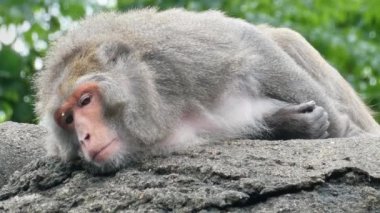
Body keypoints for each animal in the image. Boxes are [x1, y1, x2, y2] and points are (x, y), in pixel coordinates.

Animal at [34, 8, 378, 172]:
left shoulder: (180, 55)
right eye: (67, 118)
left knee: (283, 38)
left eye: (86, 100)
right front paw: (288, 124)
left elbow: (250, 43)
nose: (84, 136)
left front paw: (340, 130)